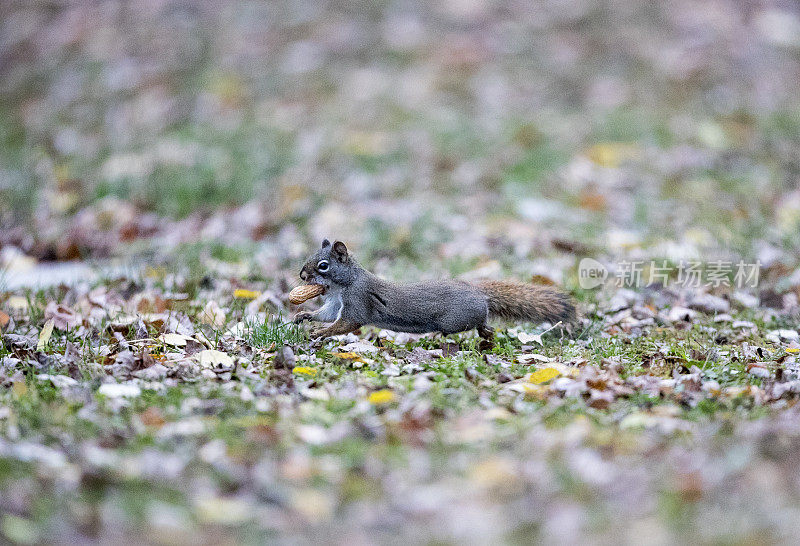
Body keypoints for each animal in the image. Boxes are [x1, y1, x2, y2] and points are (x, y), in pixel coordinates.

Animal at [292, 237, 576, 338]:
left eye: (324, 266)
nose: (302, 274)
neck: (343, 286)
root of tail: (479, 293)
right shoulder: (335, 303)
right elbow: (326, 314)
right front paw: (304, 316)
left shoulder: (358, 301)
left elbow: (346, 323)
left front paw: (320, 332)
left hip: (456, 321)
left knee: (478, 323)